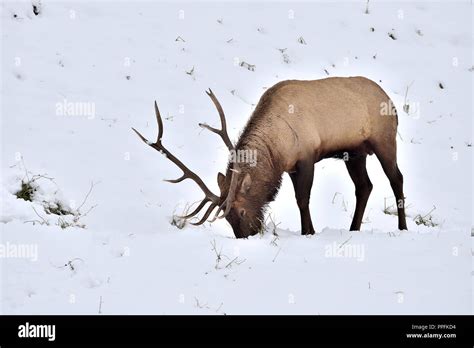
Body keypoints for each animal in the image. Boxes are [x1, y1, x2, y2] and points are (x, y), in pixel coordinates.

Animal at [132, 76, 408, 238]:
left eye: (241, 212)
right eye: (227, 218)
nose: (247, 236)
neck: (278, 147)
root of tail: (392, 103)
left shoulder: (306, 157)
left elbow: (302, 199)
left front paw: (308, 232)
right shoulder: (291, 166)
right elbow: (300, 199)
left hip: (384, 140)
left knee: (397, 179)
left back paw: (402, 227)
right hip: (355, 153)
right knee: (364, 186)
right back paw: (353, 229)